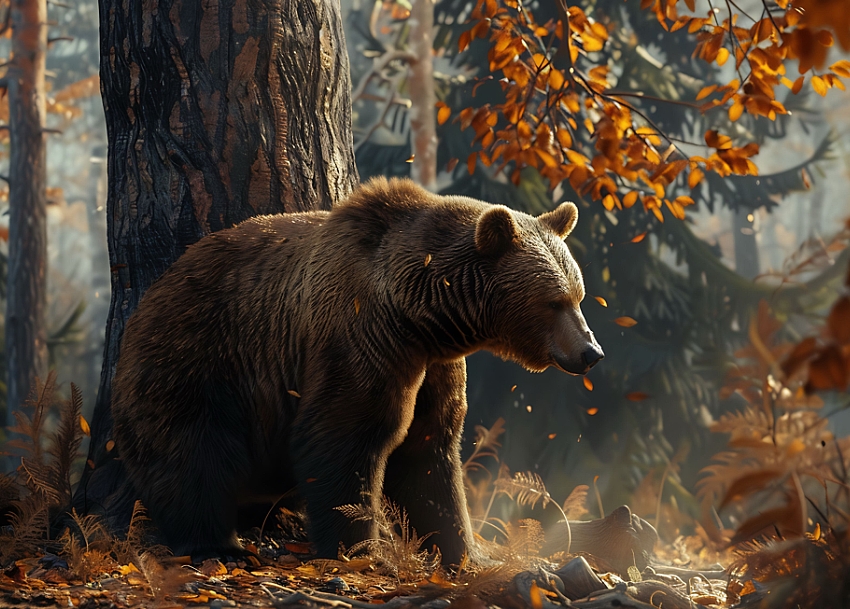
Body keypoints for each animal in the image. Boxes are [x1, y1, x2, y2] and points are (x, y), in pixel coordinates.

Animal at [111, 177, 604, 564]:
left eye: (578, 294)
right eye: (553, 301)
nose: (591, 352)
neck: (419, 313)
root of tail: (146, 298)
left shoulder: (433, 366)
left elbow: (430, 452)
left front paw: (459, 550)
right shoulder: (360, 336)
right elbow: (344, 434)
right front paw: (359, 546)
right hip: (199, 358)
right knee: (192, 455)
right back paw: (217, 545)